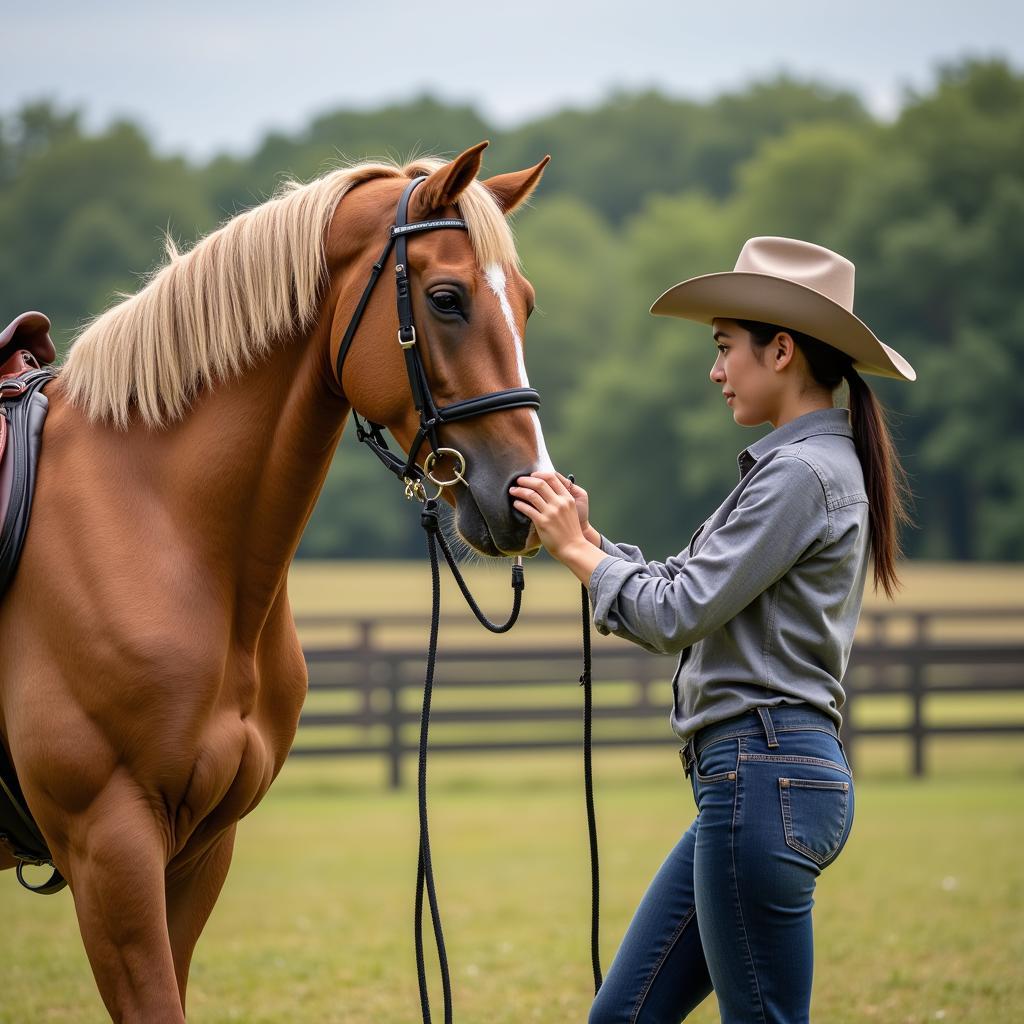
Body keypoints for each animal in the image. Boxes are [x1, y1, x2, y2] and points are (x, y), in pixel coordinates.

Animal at [0, 144, 552, 1024]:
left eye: (525, 304)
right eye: (446, 298)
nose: (525, 494)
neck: (152, 521)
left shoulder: (198, 850)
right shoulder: (107, 847)